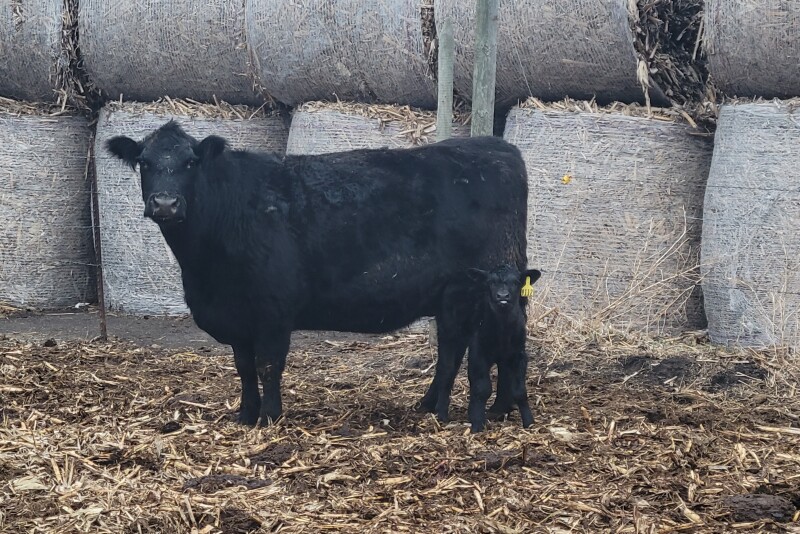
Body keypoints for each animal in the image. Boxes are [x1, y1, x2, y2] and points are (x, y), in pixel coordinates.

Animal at [106, 121, 529, 426]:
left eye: (191, 162)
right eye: (144, 162)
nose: (165, 203)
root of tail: (496, 147)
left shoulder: (273, 311)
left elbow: (268, 365)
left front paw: (270, 417)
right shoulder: (237, 317)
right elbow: (244, 367)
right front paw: (245, 415)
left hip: (467, 292)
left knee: (457, 349)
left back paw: (473, 408)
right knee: (461, 348)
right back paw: (462, 405)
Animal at [465, 264, 541, 432]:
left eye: (516, 282)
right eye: (490, 282)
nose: (503, 296)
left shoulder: (519, 355)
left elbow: (520, 391)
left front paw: (529, 422)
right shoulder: (478, 353)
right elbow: (482, 389)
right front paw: (478, 423)